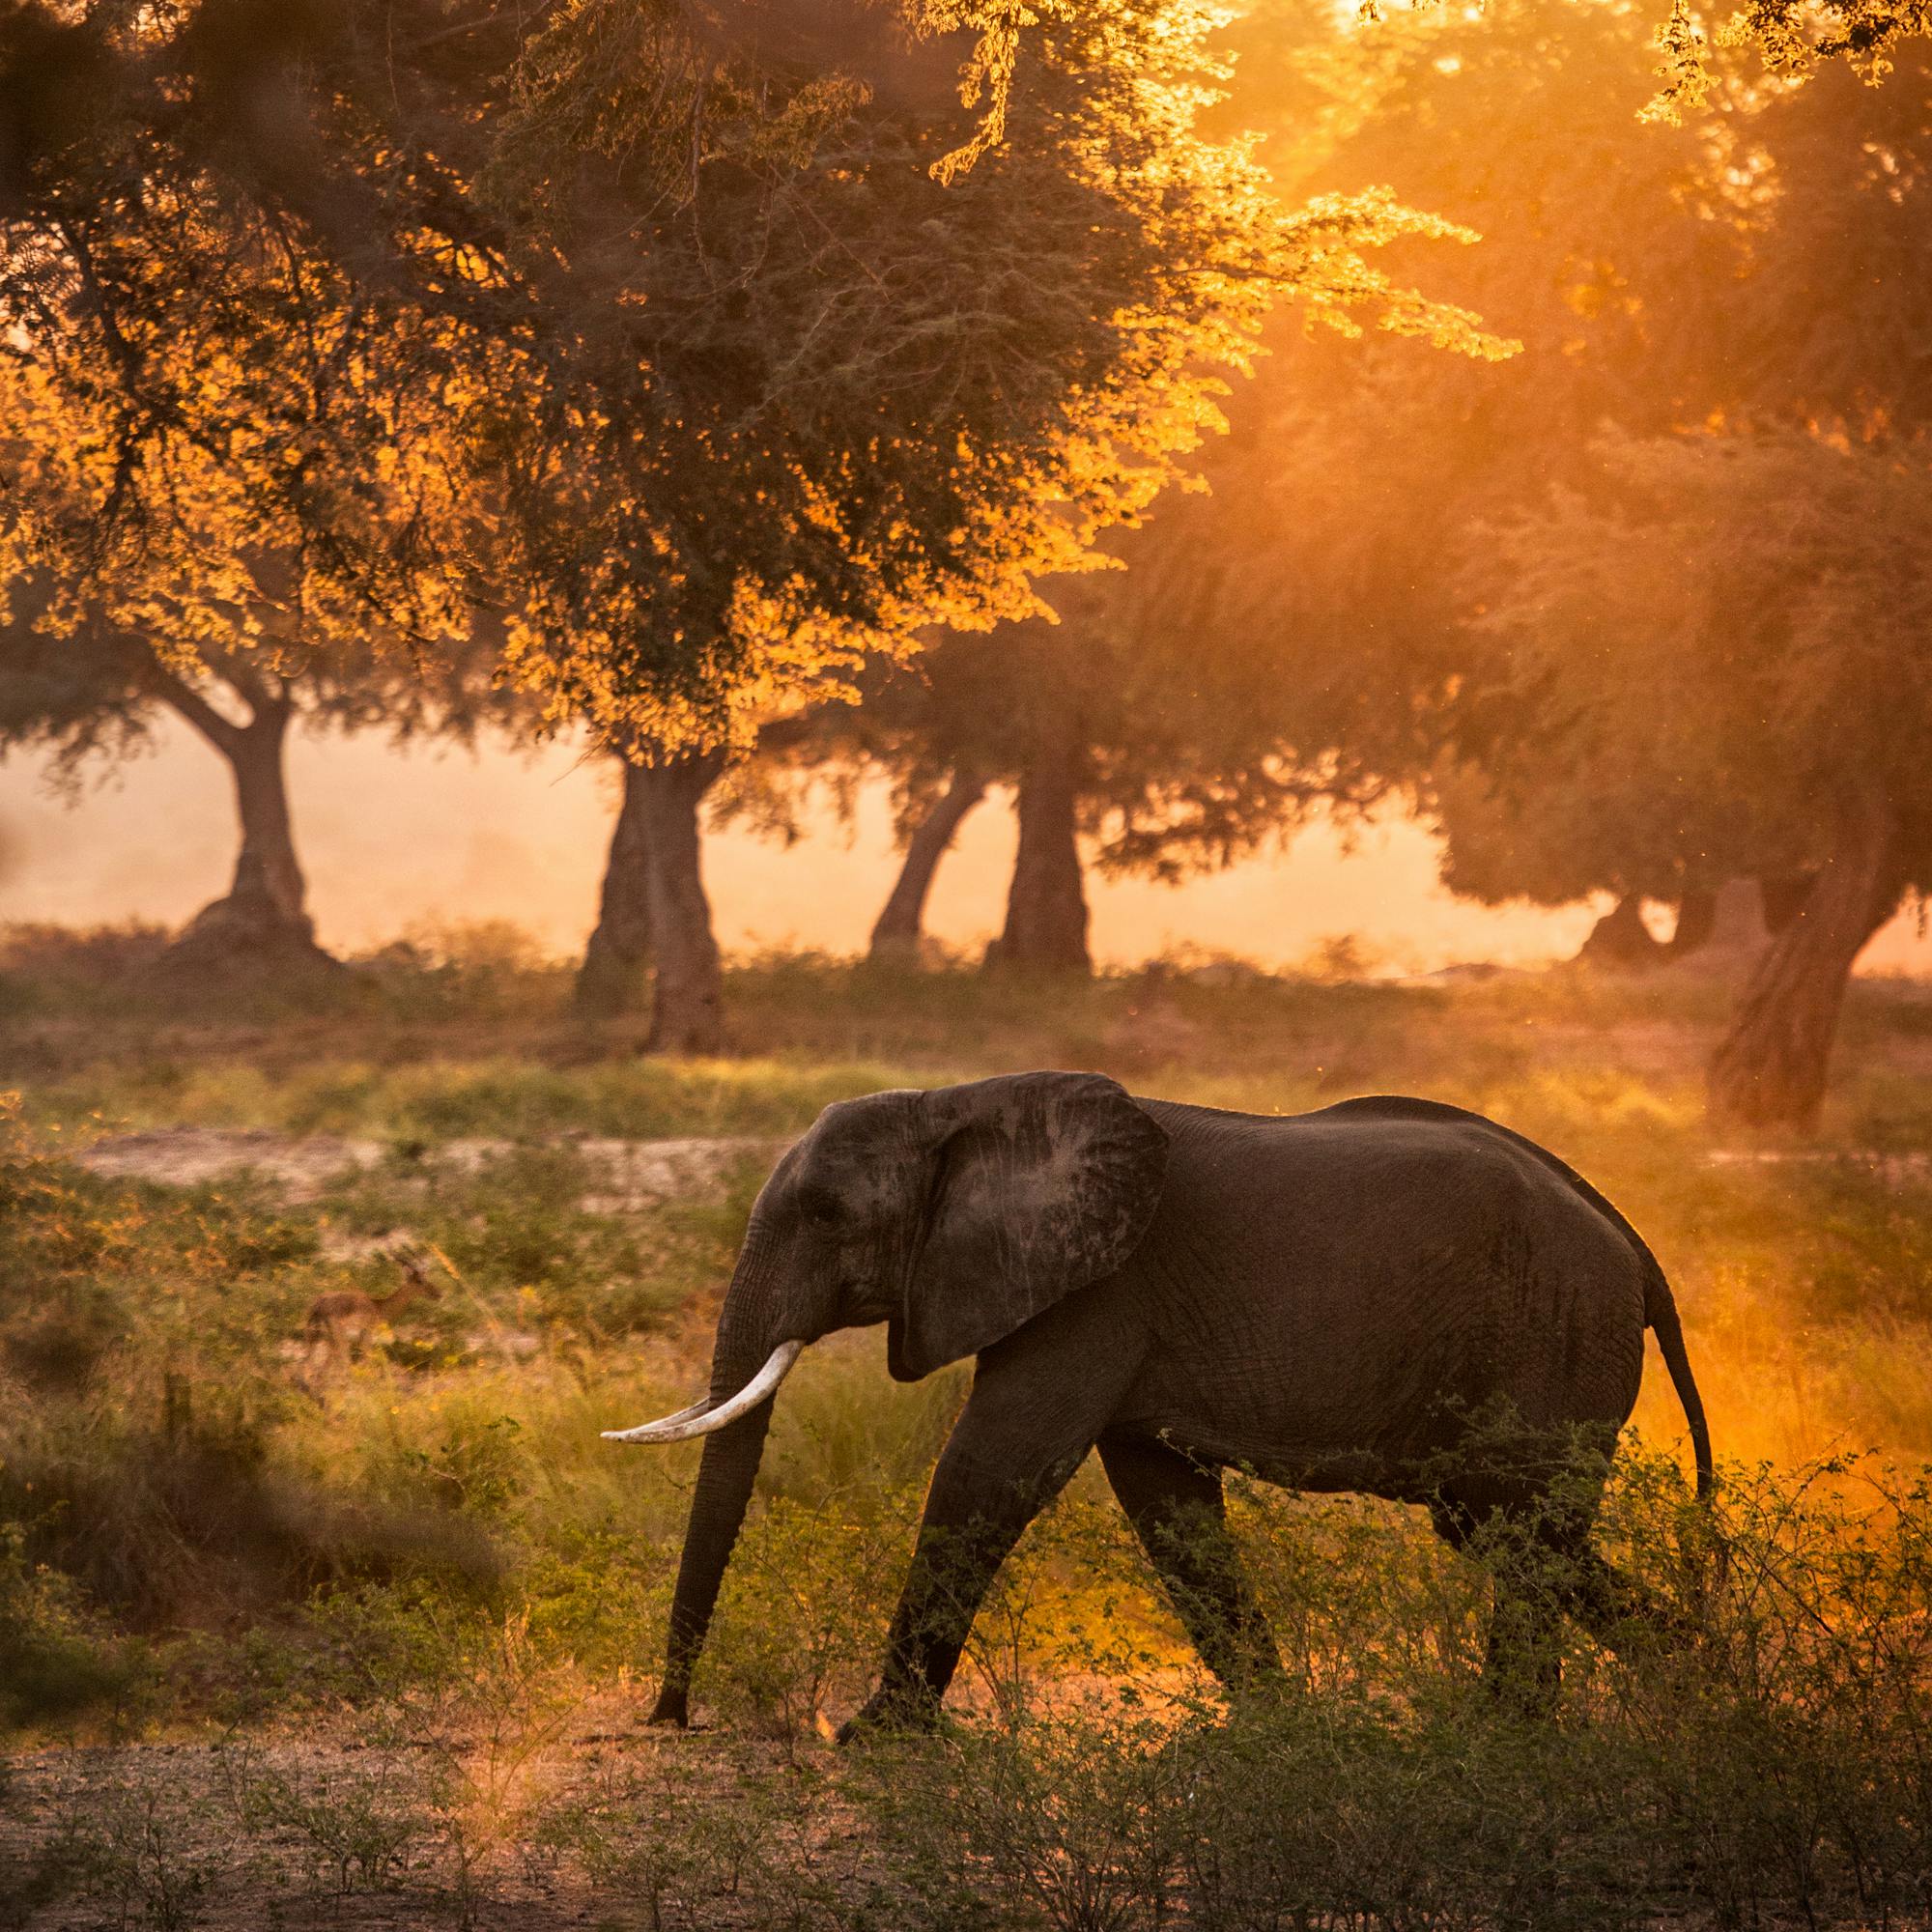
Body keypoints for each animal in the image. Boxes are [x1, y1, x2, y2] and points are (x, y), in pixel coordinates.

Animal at [608, 1073, 1714, 1734]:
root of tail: (1632, 1244)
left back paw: (1524, 1731)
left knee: (1518, 1524)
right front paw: (1279, 1729)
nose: (672, 1719)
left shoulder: (1098, 1291)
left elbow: (989, 1471)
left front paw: (872, 1739)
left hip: (1554, 1334)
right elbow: (1166, 1504)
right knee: (1497, 1527)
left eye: (828, 1213)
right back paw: (1680, 1683)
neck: (962, 1101)